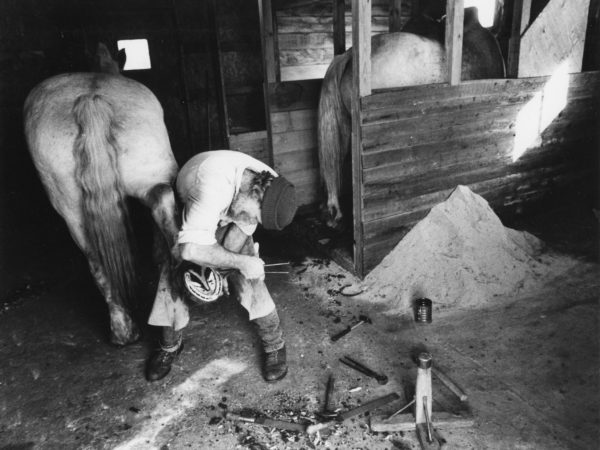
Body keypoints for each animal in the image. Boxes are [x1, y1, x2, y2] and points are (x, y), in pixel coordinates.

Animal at [23, 44, 182, 344]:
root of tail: (91, 97)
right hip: (152, 177)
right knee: (163, 203)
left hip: (71, 209)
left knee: (95, 260)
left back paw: (122, 330)